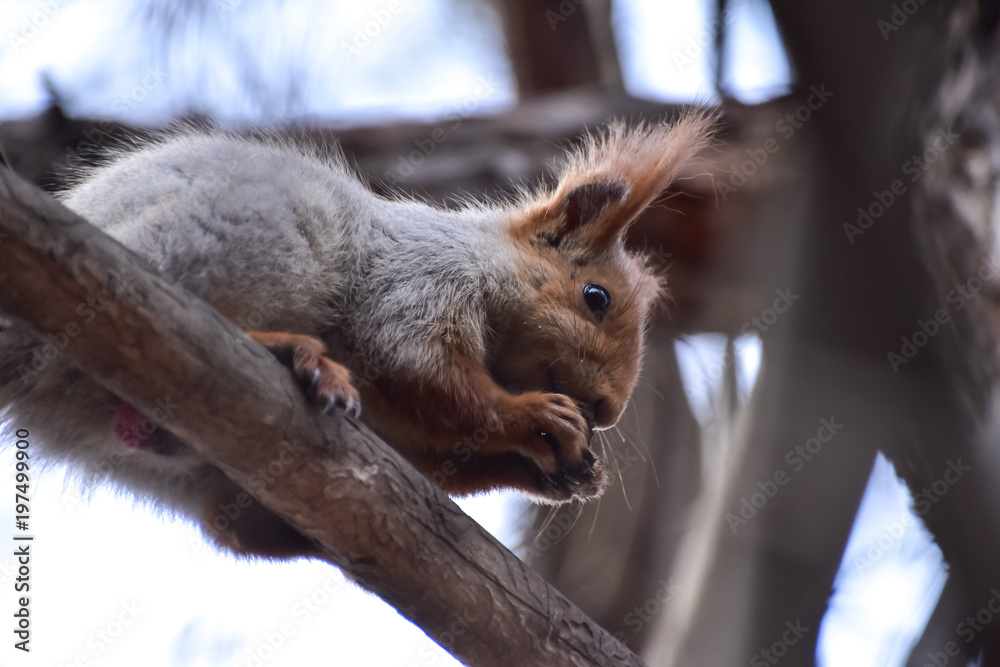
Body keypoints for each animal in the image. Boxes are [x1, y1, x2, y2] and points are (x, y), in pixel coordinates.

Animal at [0, 111, 712, 560]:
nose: (607, 411)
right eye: (596, 298)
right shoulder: (416, 285)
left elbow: (436, 451)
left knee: (229, 528)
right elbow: (427, 374)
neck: (486, 264)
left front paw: (562, 474)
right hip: (243, 240)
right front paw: (532, 416)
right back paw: (286, 350)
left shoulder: (403, 424)